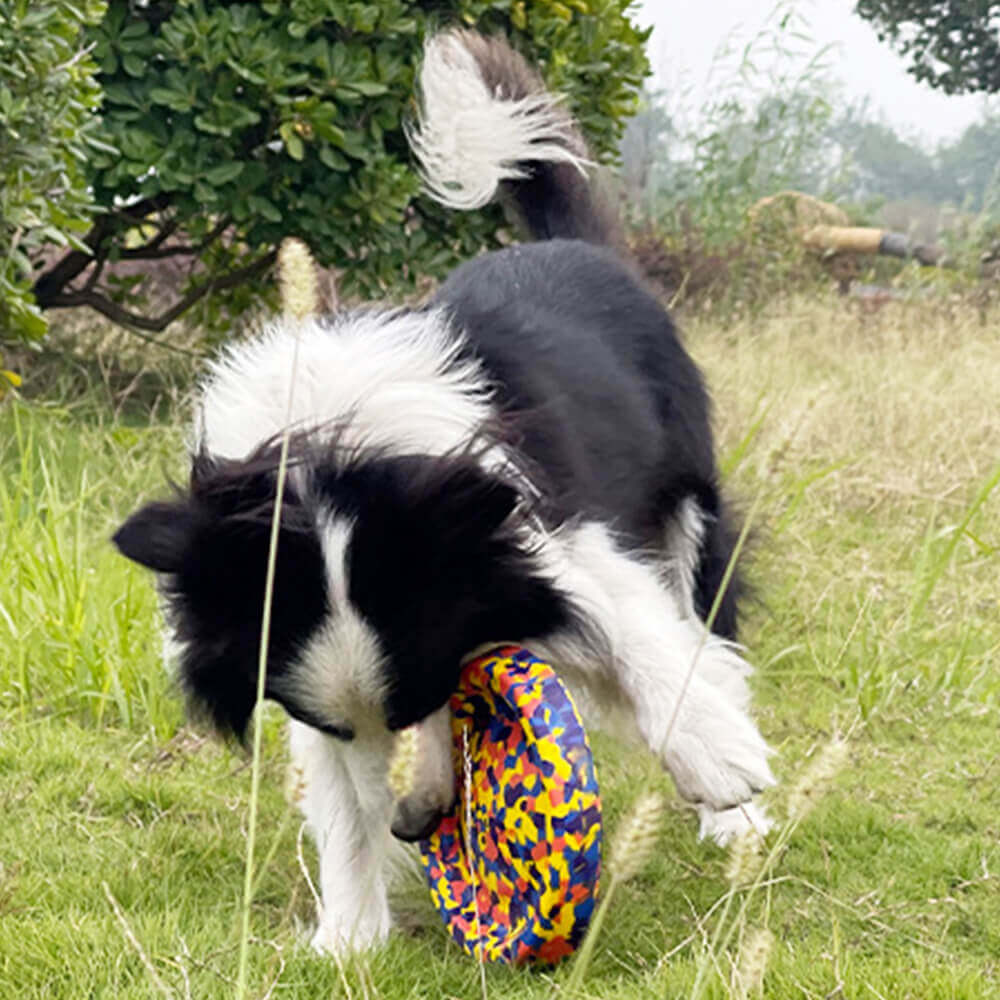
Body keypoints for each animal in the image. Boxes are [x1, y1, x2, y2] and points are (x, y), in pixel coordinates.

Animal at [113, 29, 776, 952]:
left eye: (433, 692)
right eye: (336, 725)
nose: (414, 824)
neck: (330, 455)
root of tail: (580, 247)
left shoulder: (530, 515)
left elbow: (623, 613)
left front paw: (721, 765)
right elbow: (331, 790)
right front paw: (347, 938)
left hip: (685, 482)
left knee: (700, 617)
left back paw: (733, 815)